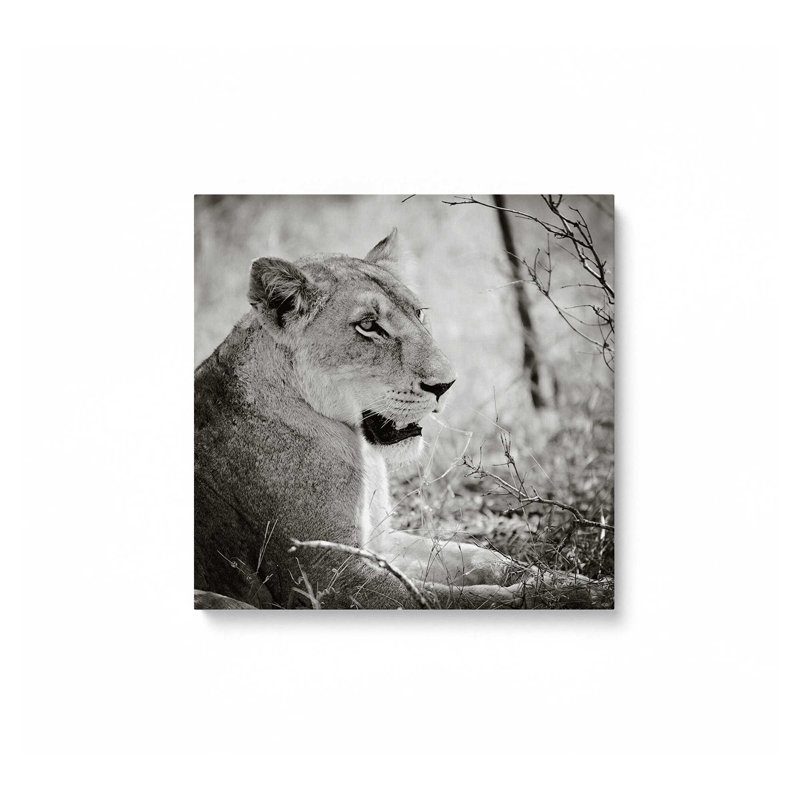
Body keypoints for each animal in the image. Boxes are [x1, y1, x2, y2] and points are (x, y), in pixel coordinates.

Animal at [195, 230, 600, 609]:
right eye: (368, 325)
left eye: (418, 313)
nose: (446, 385)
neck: (362, 453)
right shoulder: (324, 576)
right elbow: (451, 599)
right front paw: (572, 596)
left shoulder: (381, 542)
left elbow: (479, 557)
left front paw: (566, 580)